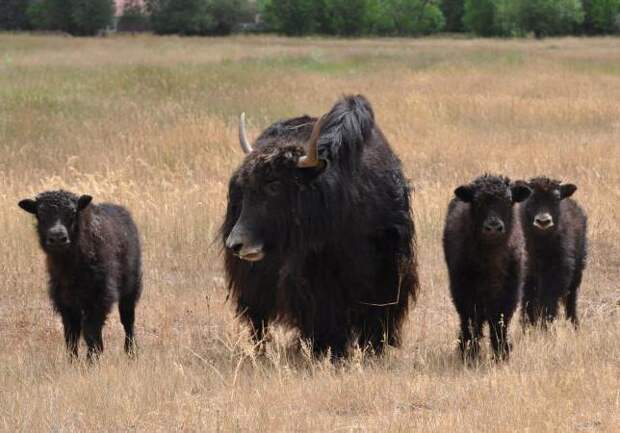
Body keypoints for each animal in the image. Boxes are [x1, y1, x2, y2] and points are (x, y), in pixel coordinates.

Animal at [18, 191, 142, 360]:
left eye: (72, 212)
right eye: (41, 213)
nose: (58, 238)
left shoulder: (100, 297)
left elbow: (90, 331)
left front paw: (92, 359)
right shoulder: (66, 302)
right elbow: (71, 335)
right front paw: (73, 361)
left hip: (131, 287)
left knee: (128, 320)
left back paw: (131, 351)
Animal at [444, 174, 532, 360]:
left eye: (509, 200)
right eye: (477, 201)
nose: (493, 227)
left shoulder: (509, 294)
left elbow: (499, 323)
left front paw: (501, 354)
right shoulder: (465, 292)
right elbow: (471, 322)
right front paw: (470, 354)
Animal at [520, 176, 588, 328]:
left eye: (556, 198)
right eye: (531, 197)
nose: (543, 221)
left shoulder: (558, 271)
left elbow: (548, 299)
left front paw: (544, 325)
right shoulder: (528, 273)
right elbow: (528, 299)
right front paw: (528, 325)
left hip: (577, 272)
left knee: (571, 299)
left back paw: (574, 325)